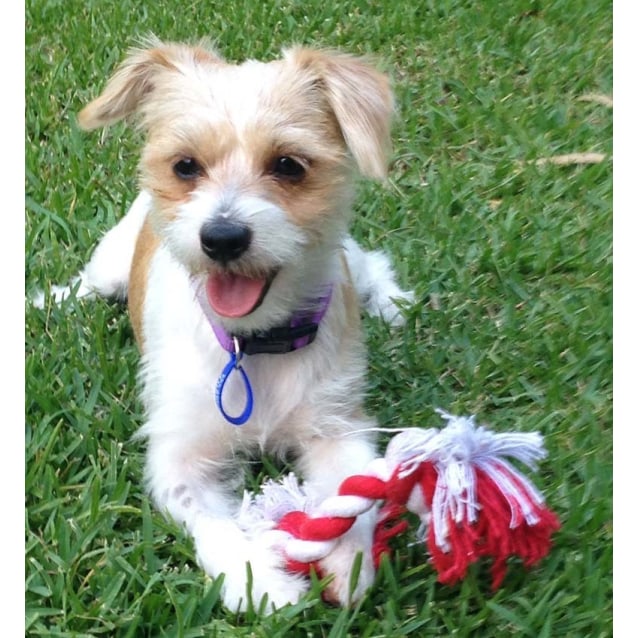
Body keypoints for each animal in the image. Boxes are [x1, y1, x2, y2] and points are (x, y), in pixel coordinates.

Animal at [42, 37, 418, 612]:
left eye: (288, 165)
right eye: (185, 166)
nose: (221, 237)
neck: (252, 345)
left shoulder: (337, 424)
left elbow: (351, 491)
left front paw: (348, 556)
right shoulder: (179, 458)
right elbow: (214, 525)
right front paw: (259, 580)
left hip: (348, 258)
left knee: (370, 262)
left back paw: (394, 303)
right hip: (111, 262)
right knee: (87, 283)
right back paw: (50, 301)